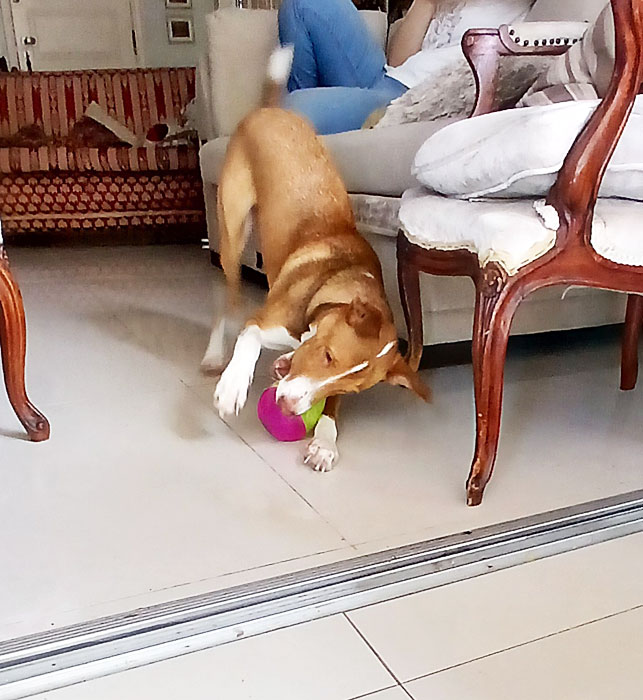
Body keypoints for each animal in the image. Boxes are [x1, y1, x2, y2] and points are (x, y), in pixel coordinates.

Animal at [202, 47, 430, 472]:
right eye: (327, 355)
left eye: (347, 385)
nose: (289, 408)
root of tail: (271, 110)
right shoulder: (263, 322)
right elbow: (248, 338)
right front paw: (233, 386)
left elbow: (331, 411)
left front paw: (325, 441)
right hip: (232, 233)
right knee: (228, 298)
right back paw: (214, 356)